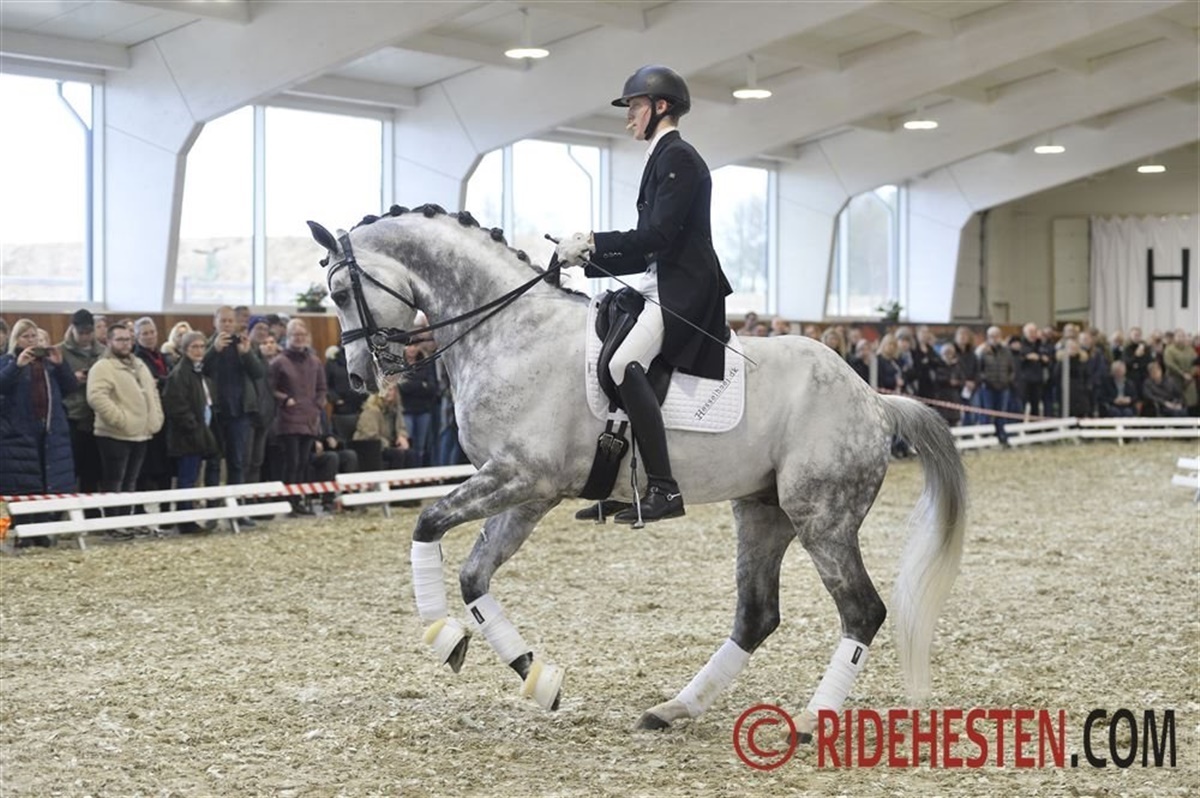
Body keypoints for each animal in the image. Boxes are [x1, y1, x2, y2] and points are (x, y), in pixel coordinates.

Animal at [307, 204, 967, 735]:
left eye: (338, 293)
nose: (361, 378)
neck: (512, 332)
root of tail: (872, 397)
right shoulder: (527, 493)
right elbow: (474, 574)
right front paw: (535, 674)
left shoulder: (521, 478)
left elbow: (427, 523)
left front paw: (443, 636)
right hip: (762, 510)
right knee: (756, 615)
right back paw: (675, 709)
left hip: (822, 517)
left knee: (861, 611)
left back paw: (810, 720)